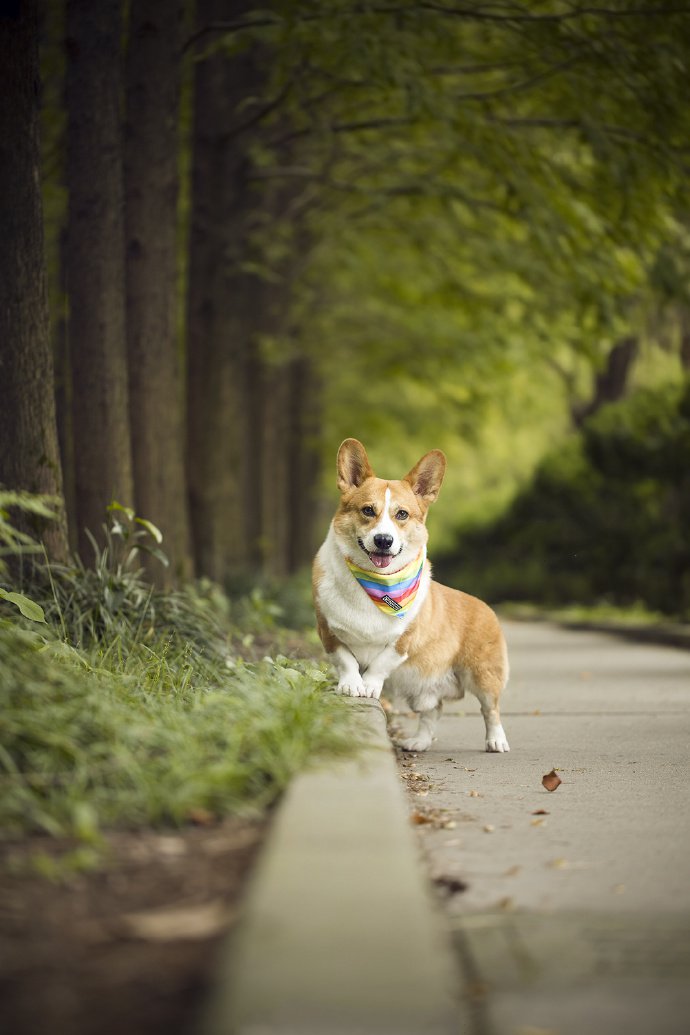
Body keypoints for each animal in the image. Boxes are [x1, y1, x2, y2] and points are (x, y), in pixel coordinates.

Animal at [310, 436, 511, 753]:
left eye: (401, 514)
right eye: (368, 510)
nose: (383, 540)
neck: (377, 585)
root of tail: (485, 606)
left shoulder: (403, 641)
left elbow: (379, 664)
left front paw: (369, 685)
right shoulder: (327, 631)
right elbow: (347, 659)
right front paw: (352, 684)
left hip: (483, 676)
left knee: (490, 709)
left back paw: (496, 741)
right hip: (423, 690)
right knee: (433, 710)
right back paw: (419, 741)